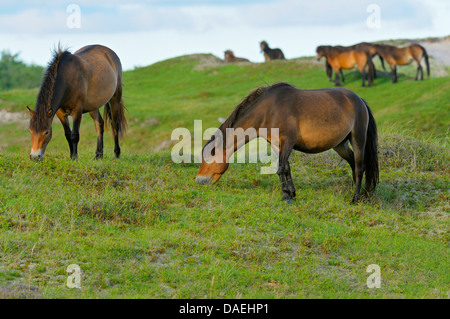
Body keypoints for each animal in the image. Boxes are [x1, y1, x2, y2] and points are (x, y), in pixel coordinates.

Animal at [195, 81, 378, 204]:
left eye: (207, 158)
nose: (199, 180)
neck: (269, 110)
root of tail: (359, 100)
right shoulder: (277, 144)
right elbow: (286, 168)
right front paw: (291, 193)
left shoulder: (288, 142)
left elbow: (281, 168)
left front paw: (285, 196)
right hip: (340, 145)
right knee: (353, 163)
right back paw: (358, 190)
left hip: (358, 138)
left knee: (359, 166)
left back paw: (355, 198)